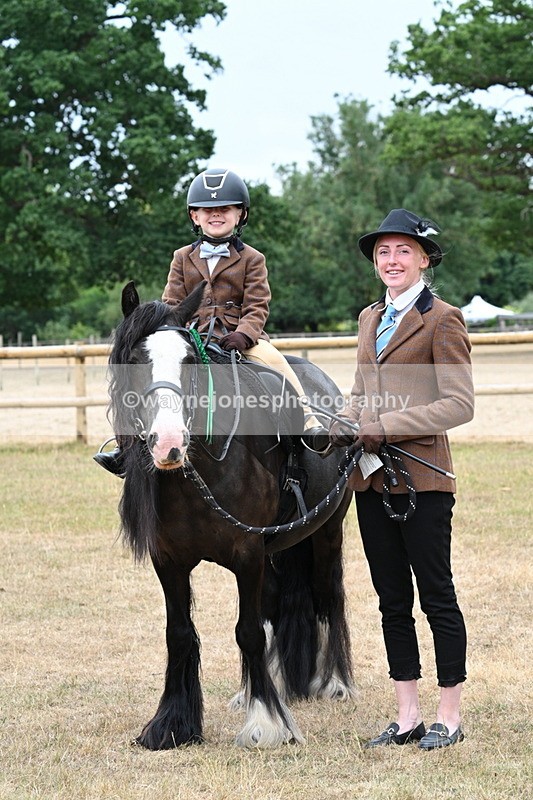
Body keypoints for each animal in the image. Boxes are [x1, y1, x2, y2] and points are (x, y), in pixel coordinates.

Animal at [106, 280, 356, 749]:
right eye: (134, 360)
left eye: (188, 361)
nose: (169, 442)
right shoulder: (169, 561)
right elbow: (179, 633)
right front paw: (171, 724)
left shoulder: (247, 553)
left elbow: (249, 631)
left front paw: (266, 724)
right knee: (275, 603)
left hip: (326, 532)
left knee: (327, 595)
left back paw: (334, 682)